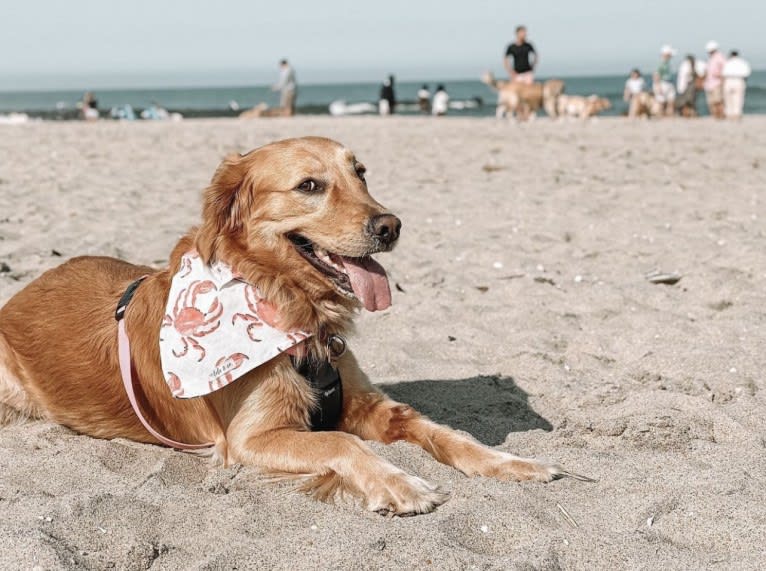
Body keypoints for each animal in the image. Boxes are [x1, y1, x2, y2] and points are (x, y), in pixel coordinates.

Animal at [0, 136, 588, 516]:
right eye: (309, 185)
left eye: (361, 172)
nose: (391, 226)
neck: (296, 310)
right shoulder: (250, 438)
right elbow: (341, 444)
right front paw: (399, 484)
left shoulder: (371, 405)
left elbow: (446, 432)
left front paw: (512, 462)